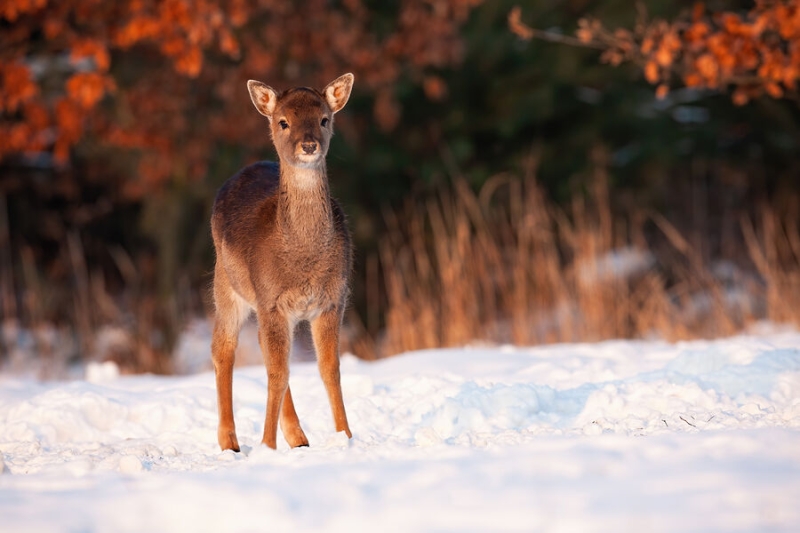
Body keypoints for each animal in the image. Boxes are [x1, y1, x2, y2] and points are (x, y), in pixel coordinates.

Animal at [211, 74, 354, 448]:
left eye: (324, 119)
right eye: (283, 121)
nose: (309, 145)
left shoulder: (333, 299)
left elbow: (329, 369)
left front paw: (347, 436)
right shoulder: (271, 299)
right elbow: (277, 373)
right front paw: (266, 445)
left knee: (264, 347)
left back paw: (298, 436)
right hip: (226, 282)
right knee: (222, 347)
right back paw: (229, 441)